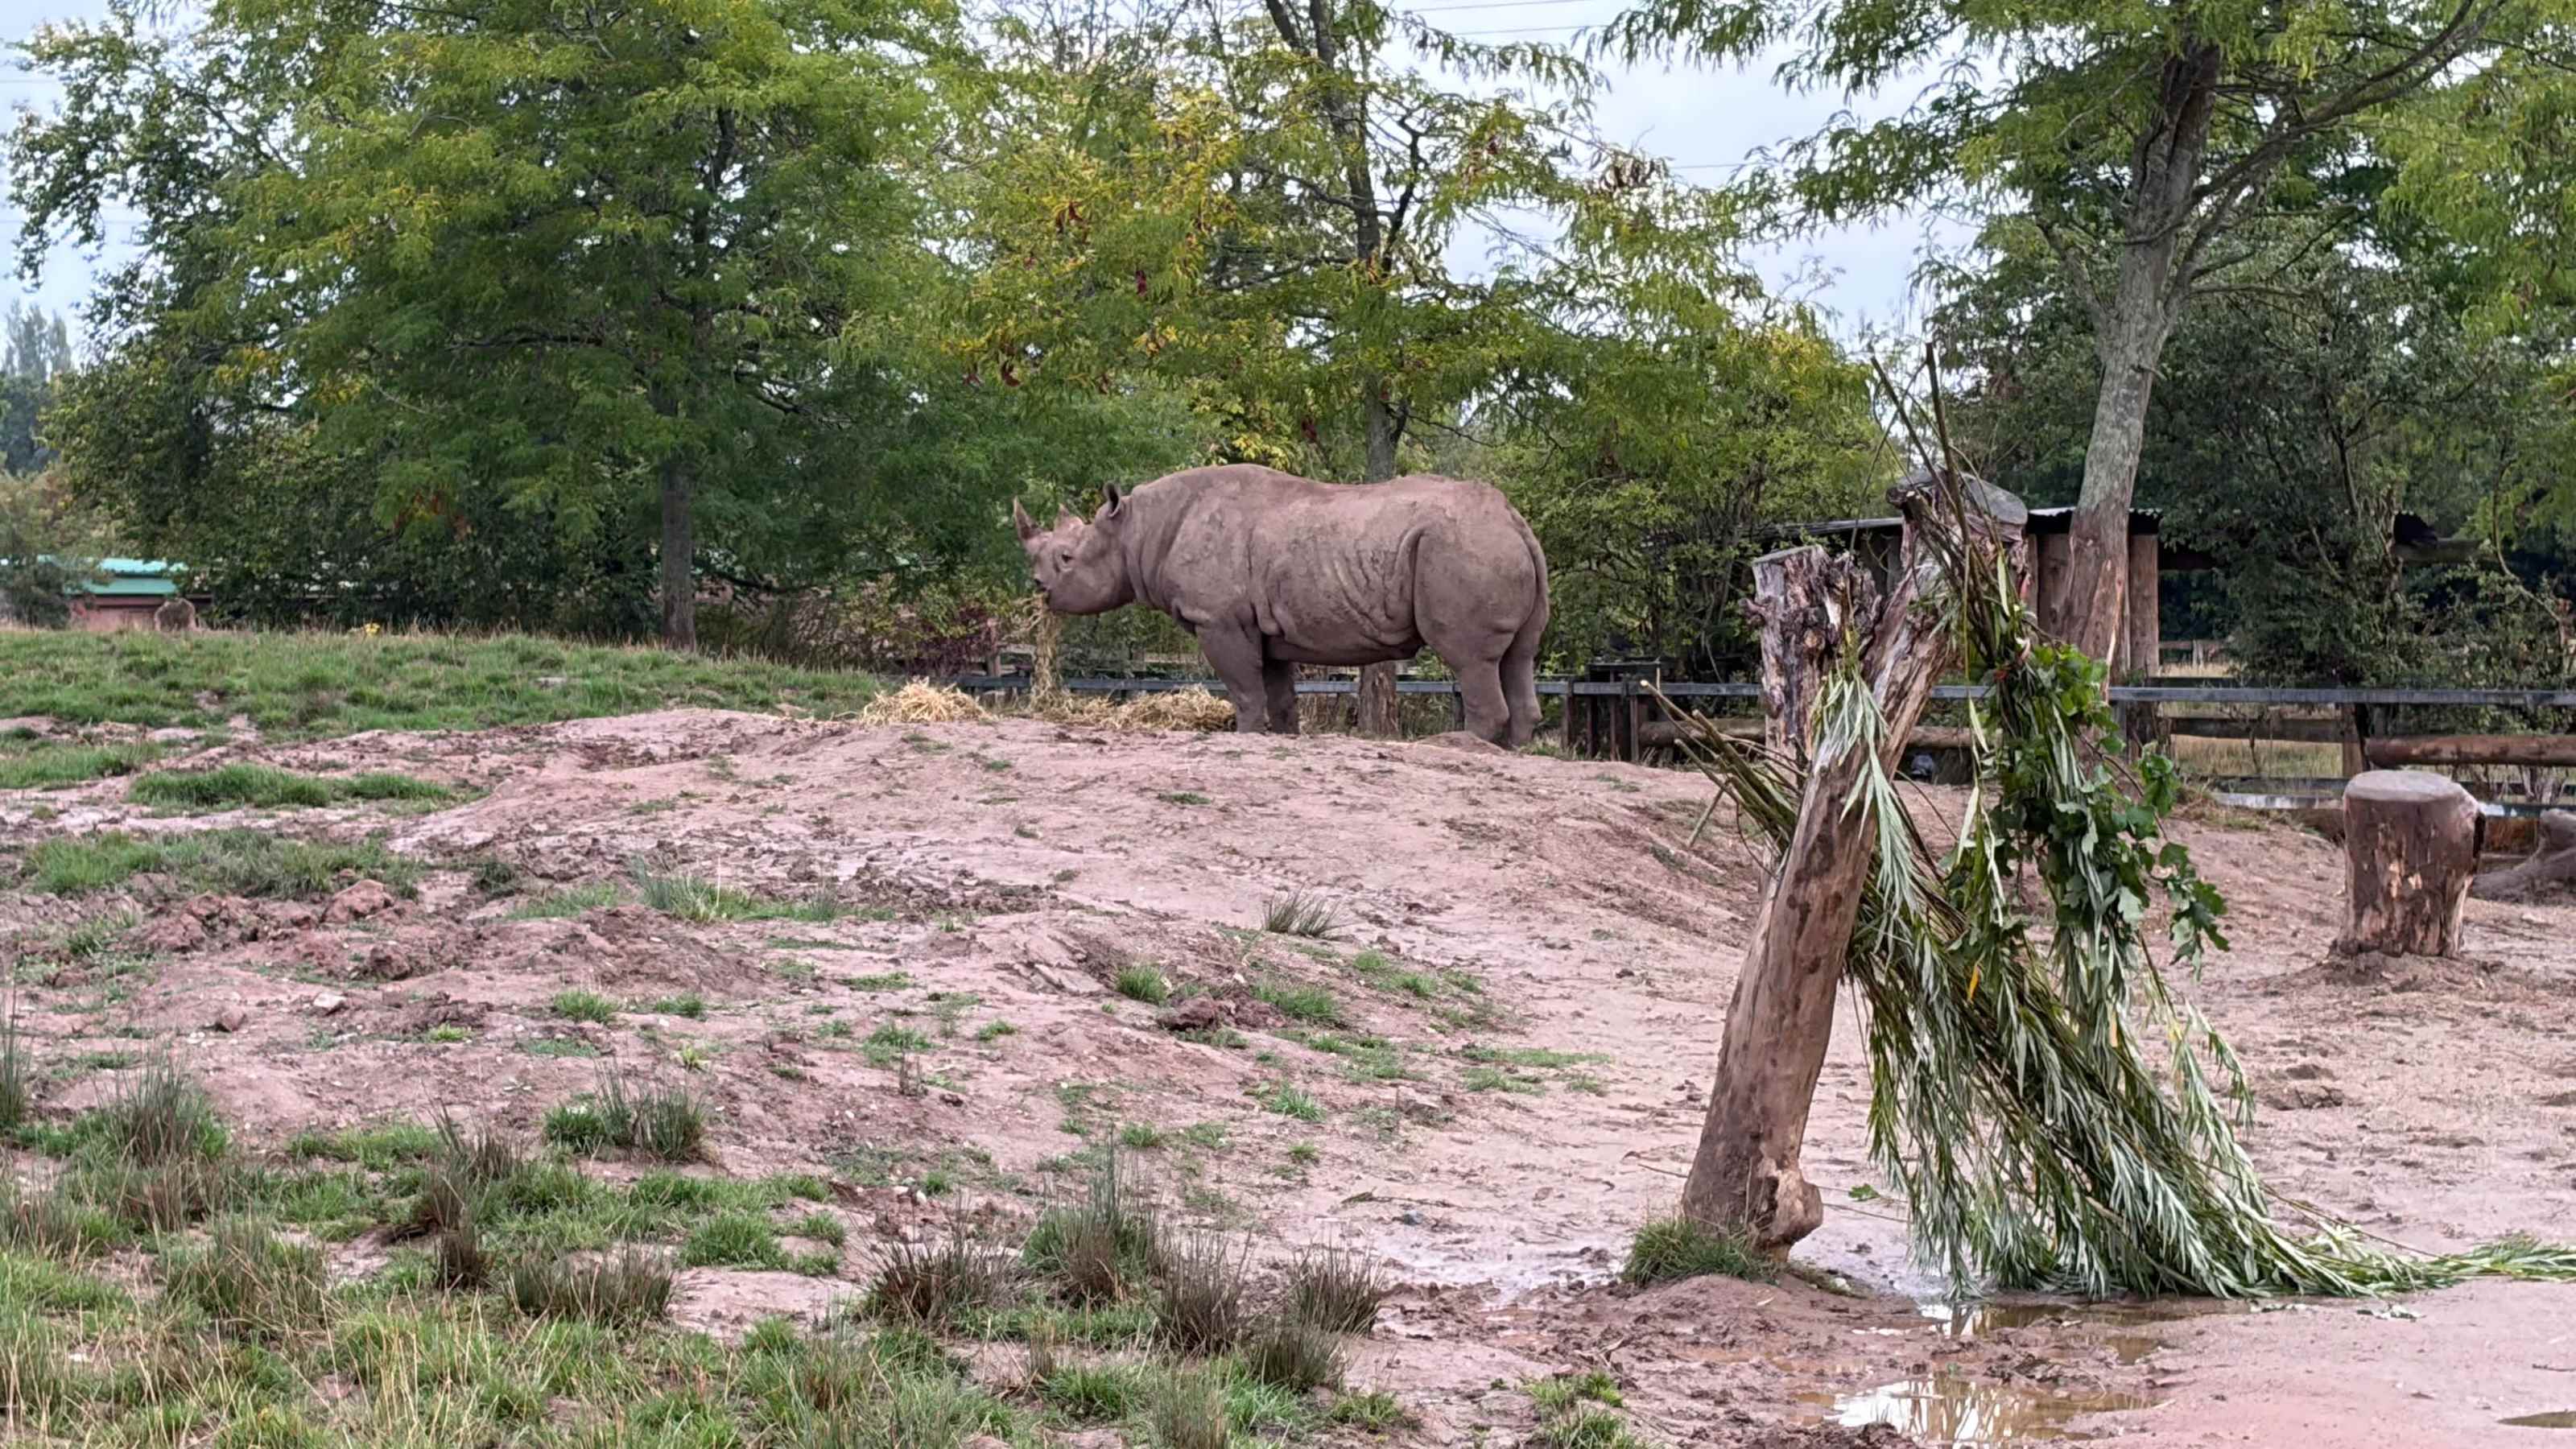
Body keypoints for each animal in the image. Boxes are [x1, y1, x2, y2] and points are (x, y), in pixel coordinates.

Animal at [1015, 464, 1550, 746]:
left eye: (1067, 558)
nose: (1039, 587)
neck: (1136, 530)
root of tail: (1513, 519)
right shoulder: (1265, 630)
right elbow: (1278, 694)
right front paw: (1282, 739)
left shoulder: (1218, 620)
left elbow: (1244, 689)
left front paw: (1244, 738)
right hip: (1489, 545)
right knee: (1519, 656)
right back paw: (1511, 751)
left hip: (1461, 547)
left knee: (1470, 659)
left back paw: (1457, 747)